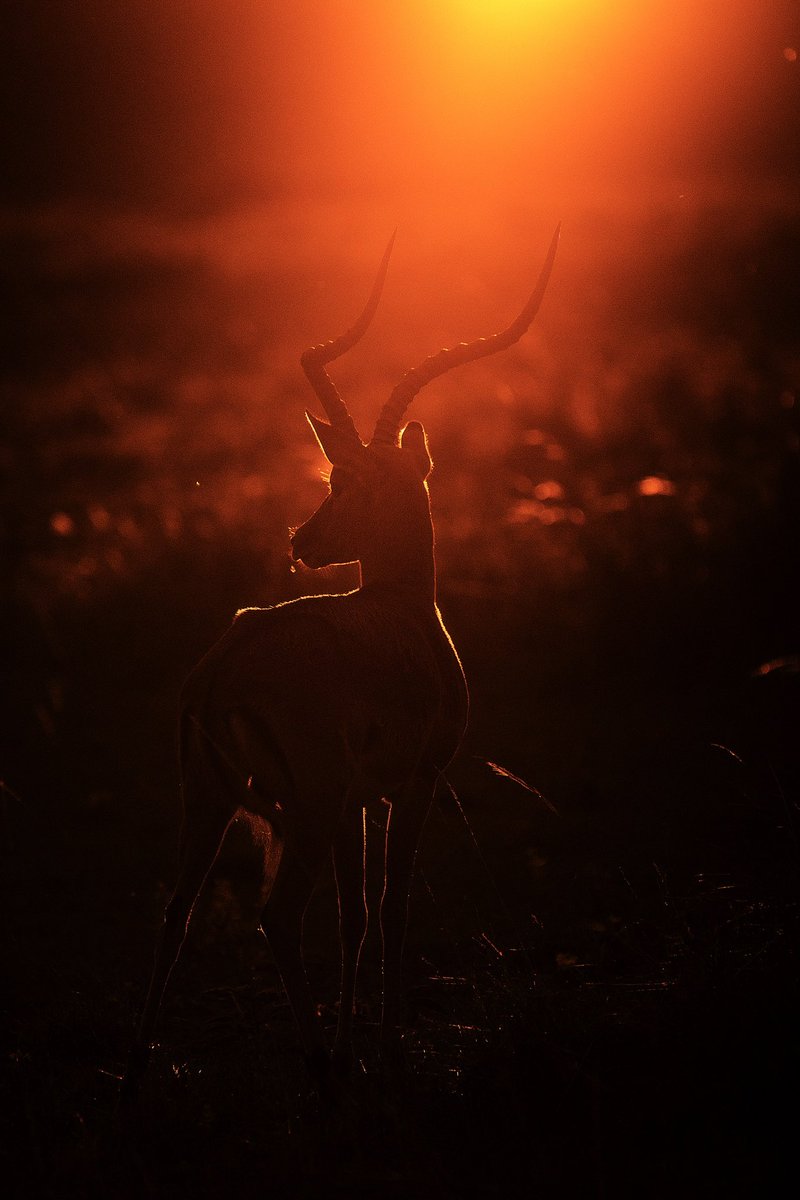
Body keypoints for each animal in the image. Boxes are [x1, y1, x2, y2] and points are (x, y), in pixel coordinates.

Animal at [124, 226, 559, 1096]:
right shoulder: (415, 781)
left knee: (176, 911)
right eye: (334, 473)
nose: (302, 542)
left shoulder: (361, 801)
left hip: (213, 801)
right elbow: (390, 909)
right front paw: (380, 1049)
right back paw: (318, 1068)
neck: (404, 611)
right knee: (275, 915)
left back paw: (140, 1070)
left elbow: (353, 918)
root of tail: (219, 672)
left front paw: (359, 1041)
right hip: (307, 807)